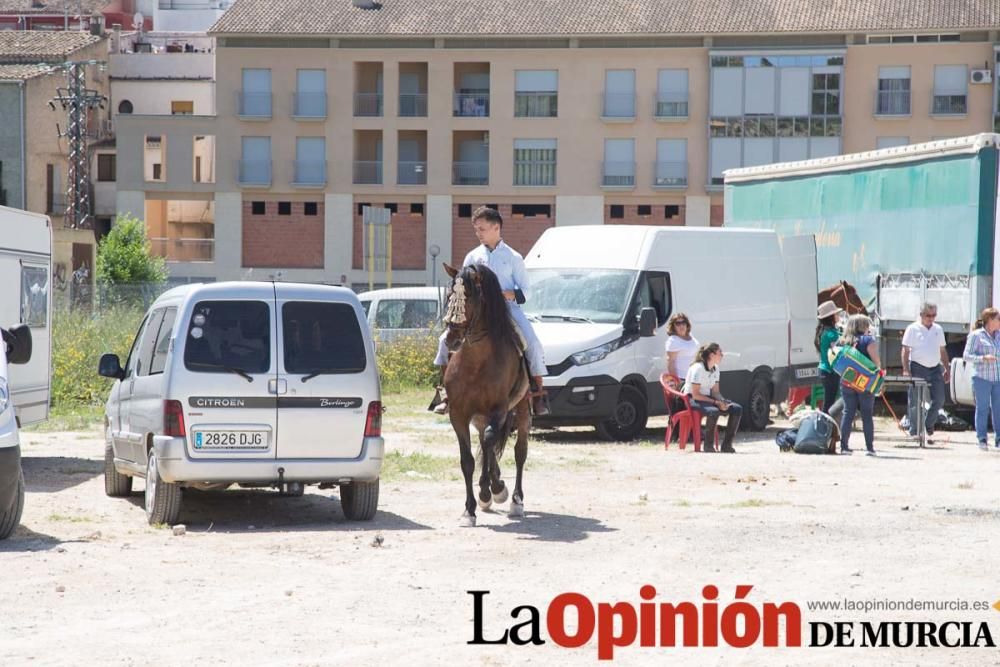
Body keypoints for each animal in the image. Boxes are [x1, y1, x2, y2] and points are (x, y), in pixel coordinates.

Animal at [440, 260, 528, 528]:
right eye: (450, 296)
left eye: (469, 296)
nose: (451, 339)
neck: (476, 363)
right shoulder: (458, 414)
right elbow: (468, 460)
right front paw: (470, 509)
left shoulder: (498, 410)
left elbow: (490, 441)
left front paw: (495, 489)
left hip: (522, 410)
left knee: (519, 451)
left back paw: (515, 500)